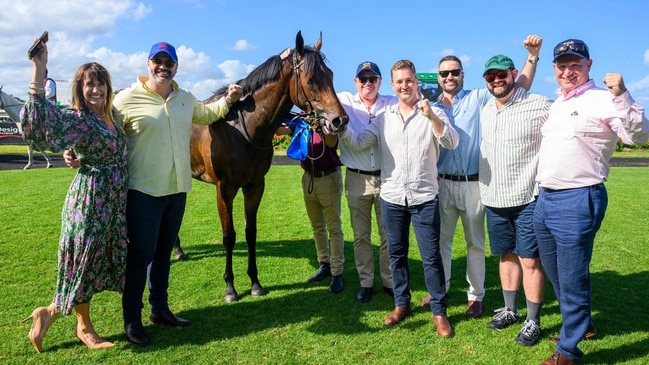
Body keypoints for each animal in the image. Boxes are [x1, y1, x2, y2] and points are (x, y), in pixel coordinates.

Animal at [189, 31, 346, 300]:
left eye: (332, 75)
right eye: (312, 79)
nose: (340, 120)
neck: (242, 129)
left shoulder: (255, 185)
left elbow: (250, 233)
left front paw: (255, 283)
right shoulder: (224, 189)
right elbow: (229, 236)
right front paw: (230, 287)